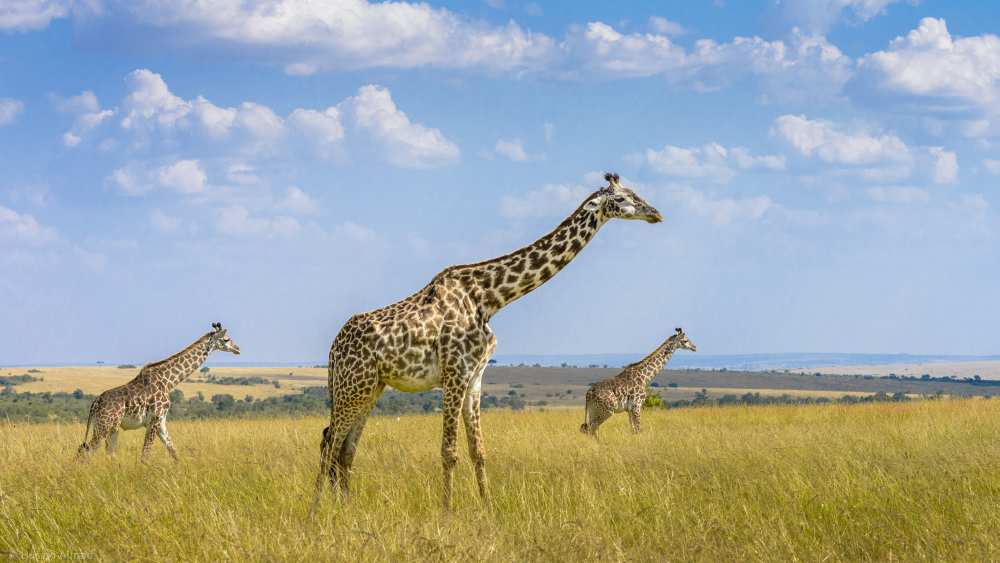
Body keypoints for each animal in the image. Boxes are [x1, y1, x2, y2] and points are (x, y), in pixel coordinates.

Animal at [76, 323, 241, 461]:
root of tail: (94, 404)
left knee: (107, 453)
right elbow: (145, 454)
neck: (168, 381)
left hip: (112, 427)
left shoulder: (161, 421)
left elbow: (173, 451)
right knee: (85, 451)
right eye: (226, 339)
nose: (238, 349)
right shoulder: (154, 419)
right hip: (104, 426)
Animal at [312, 172, 663, 512]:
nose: (655, 213)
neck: (489, 298)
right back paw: (316, 513)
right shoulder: (454, 372)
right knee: (329, 443)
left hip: (370, 388)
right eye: (623, 198)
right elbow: (449, 450)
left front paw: (488, 508)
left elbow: (478, 450)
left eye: (636, 193)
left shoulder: (475, 376)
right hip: (351, 387)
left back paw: (346, 509)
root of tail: (333, 349)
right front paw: (447, 512)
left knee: (345, 448)